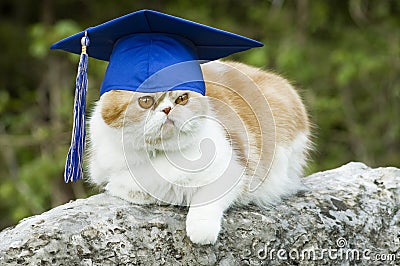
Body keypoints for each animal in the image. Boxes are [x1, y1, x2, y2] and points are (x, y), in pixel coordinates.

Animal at [88, 60, 312, 245]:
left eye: (181, 98)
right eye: (145, 101)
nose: (168, 110)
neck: (158, 154)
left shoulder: (232, 168)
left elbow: (207, 199)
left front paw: (201, 231)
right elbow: (123, 185)